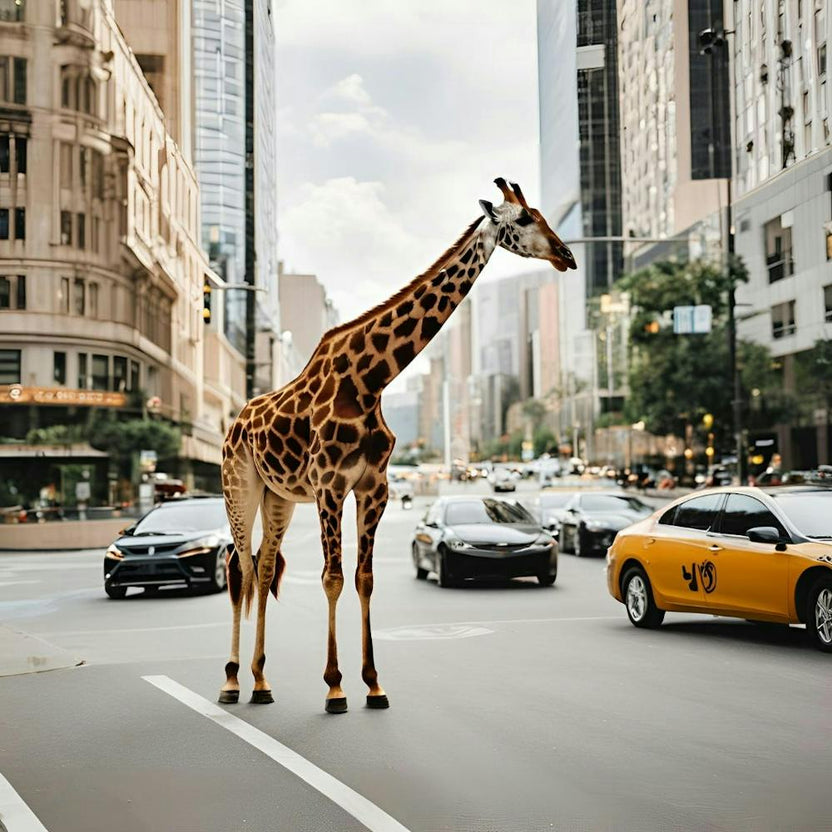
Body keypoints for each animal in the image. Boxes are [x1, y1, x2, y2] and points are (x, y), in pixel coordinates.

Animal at [219, 178, 576, 712]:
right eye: (524, 218)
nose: (566, 255)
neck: (370, 380)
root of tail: (234, 423)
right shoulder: (330, 486)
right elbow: (332, 576)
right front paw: (335, 686)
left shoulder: (374, 487)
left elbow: (364, 578)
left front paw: (373, 684)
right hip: (238, 487)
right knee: (239, 567)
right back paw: (231, 680)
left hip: (277, 495)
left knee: (263, 567)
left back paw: (262, 683)